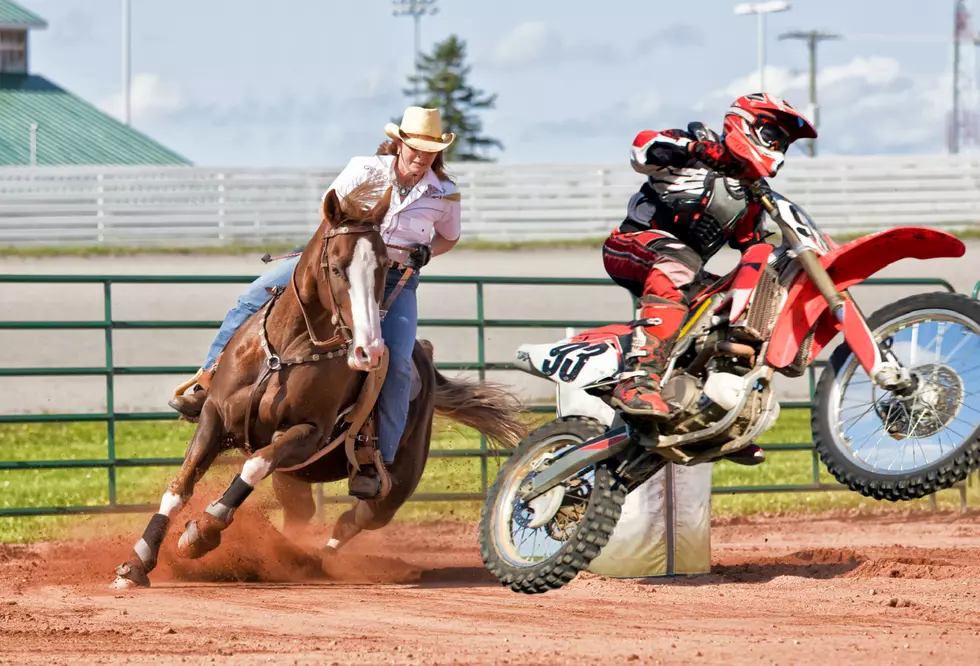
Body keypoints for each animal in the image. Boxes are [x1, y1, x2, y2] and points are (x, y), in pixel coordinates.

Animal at [112, 179, 528, 584]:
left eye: (383, 267)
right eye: (338, 267)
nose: (369, 349)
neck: (284, 351)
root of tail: (424, 356)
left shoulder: (307, 433)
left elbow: (254, 464)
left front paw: (202, 532)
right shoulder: (214, 417)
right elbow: (180, 485)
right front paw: (137, 562)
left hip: (393, 487)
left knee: (353, 520)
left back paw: (312, 560)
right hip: (294, 480)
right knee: (305, 514)